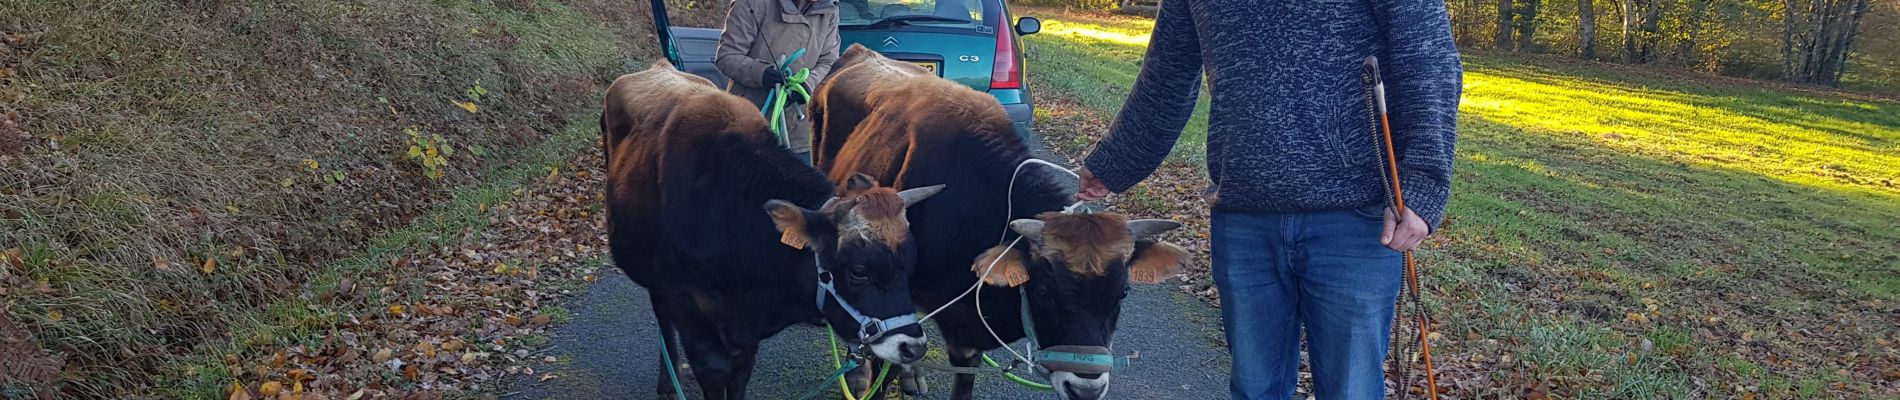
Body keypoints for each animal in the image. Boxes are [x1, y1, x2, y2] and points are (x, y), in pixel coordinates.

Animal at [600, 60, 942, 400]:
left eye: (910, 262)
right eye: (858, 271)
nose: (913, 347)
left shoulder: (746, 334)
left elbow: (740, 375)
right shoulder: (690, 313)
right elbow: (714, 370)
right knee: (662, 317)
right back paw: (668, 382)